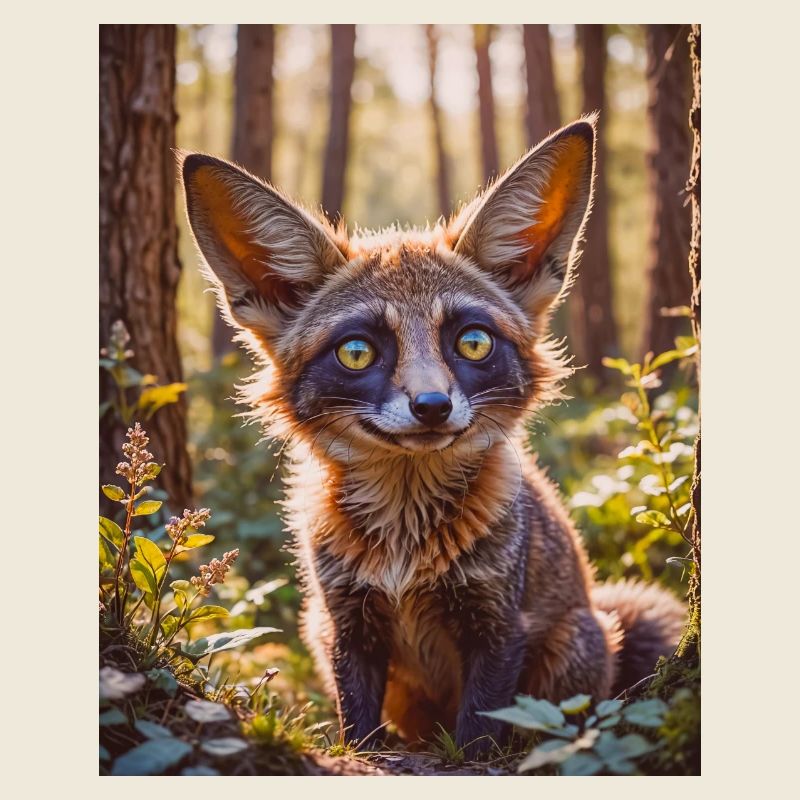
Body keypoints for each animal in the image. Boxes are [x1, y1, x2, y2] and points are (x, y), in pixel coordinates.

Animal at [179, 116, 685, 756]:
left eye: (473, 342)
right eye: (357, 351)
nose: (432, 406)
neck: (406, 549)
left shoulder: (497, 625)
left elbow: (477, 740)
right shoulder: (347, 623)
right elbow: (358, 734)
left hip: (575, 641)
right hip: (317, 628)